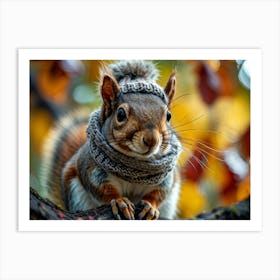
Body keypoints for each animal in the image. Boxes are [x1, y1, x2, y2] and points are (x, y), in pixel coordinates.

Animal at [40, 60, 183, 219]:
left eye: (169, 116)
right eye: (120, 114)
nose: (151, 140)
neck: (135, 168)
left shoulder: (167, 177)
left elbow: (159, 193)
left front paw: (150, 206)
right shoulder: (91, 168)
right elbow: (102, 189)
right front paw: (120, 201)